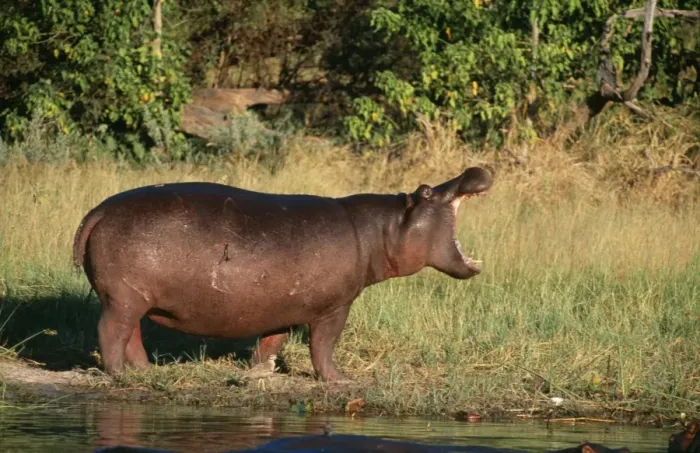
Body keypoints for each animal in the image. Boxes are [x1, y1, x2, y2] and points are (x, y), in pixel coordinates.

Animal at [72, 167, 492, 380]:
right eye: (426, 191)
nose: (475, 168)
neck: (383, 229)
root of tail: (98, 210)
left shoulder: (285, 305)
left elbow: (272, 342)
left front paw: (259, 374)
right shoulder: (335, 307)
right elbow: (323, 345)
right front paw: (341, 381)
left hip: (133, 298)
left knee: (131, 336)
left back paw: (145, 372)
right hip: (122, 298)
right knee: (110, 332)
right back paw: (118, 375)